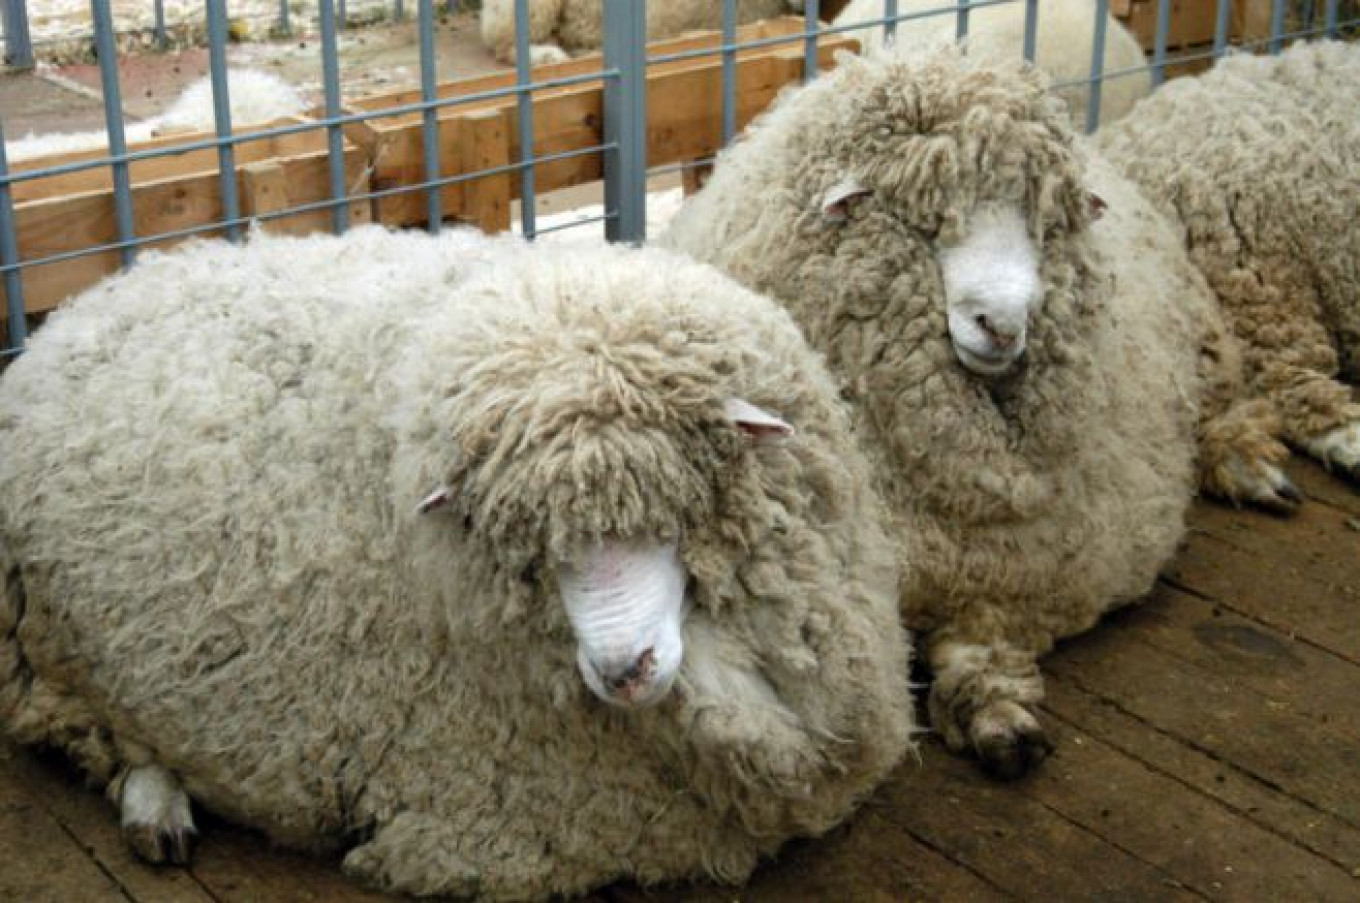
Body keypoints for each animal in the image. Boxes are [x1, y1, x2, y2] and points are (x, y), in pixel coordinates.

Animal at [0, 224, 915, 899]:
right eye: (530, 548)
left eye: (671, 506)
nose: (622, 670)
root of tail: (81, 309)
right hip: (53, 645)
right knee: (90, 728)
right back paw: (155, 805)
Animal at [661, 48, 1286, 777]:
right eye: (926, 218)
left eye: (1041, 220)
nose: (1004, 324)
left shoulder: (1009, 578)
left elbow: (981, 641)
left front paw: (996, 715)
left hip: (1205, 346)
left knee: (1222, 411)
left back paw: (1254, 466)